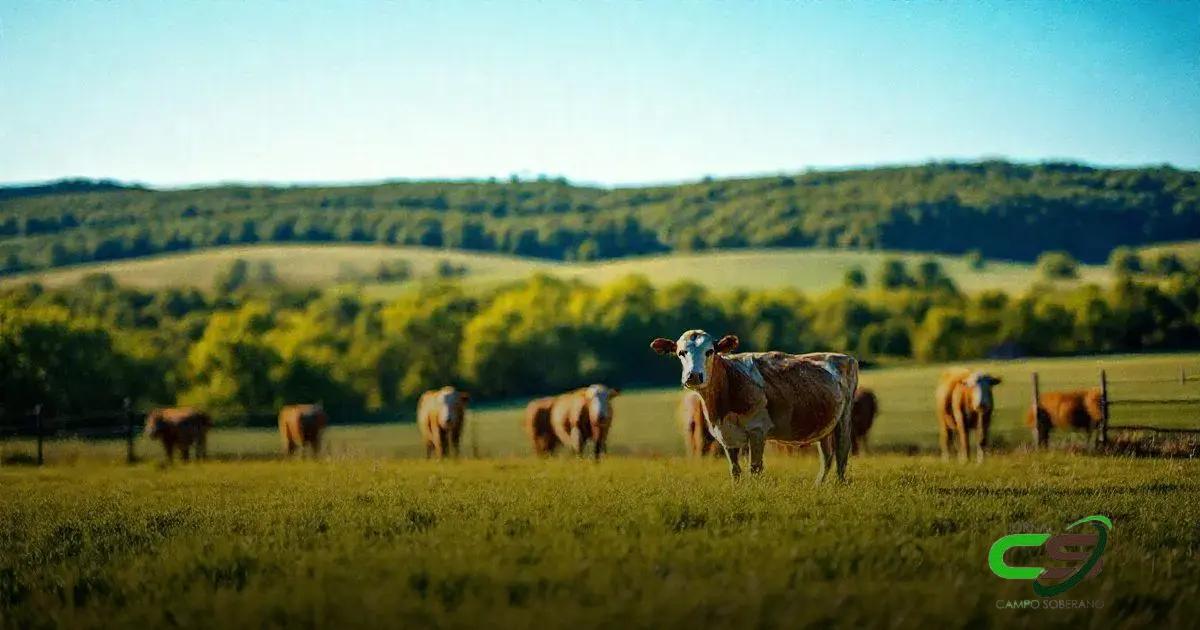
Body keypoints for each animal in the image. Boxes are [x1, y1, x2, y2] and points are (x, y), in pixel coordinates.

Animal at [650, 330, 858, 482]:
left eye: (710, 351)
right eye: (681, 352)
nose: (693, 376)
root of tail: (844, 357)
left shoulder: (757, 431)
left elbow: (755, 469)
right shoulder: (726, 436)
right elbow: (735, 470)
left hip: (845, 418)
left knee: (842, 454)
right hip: (823, 424)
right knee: (827, 458)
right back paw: (819, 486)